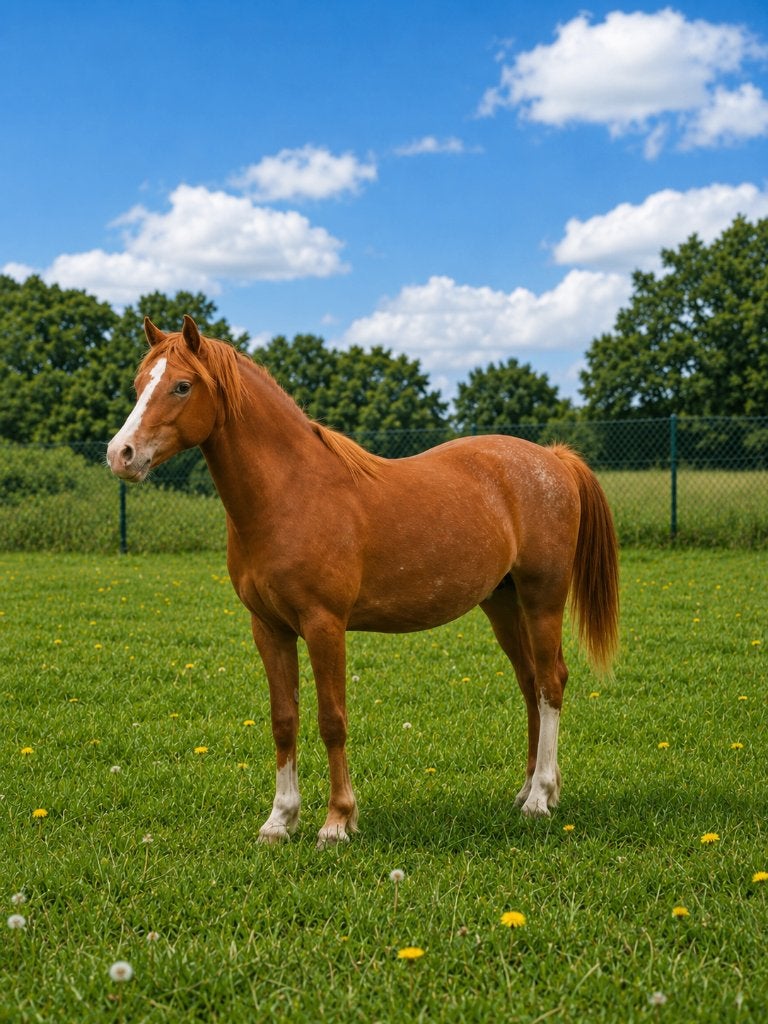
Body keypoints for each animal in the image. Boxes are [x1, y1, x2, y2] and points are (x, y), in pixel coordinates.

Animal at [107, 315, 619, 847]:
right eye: (140, 384)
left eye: (182, 386)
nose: (120, 454)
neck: (291, 493)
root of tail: (553, 459)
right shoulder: (269, 629)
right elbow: (283, 720)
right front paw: (279, 820)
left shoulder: (324, 625)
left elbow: (332, 720)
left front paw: (337, 821)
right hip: (503, 604)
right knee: (529, 684)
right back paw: (527, 791)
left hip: (543, 600)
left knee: (551, 684)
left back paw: (541, 798)